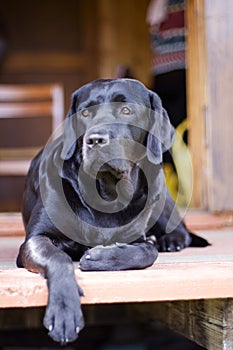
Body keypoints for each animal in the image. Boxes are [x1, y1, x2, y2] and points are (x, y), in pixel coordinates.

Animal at [16, 78, 209, 344]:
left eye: (126, 111)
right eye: (85, 113)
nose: (95, 140)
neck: (106, 194)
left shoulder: (137, 235)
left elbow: (147, 251)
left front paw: (101, 257)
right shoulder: (35, 239)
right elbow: (57, 257)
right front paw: (64, 310)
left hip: (158, 185)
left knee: (180, 230)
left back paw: (171, 240)